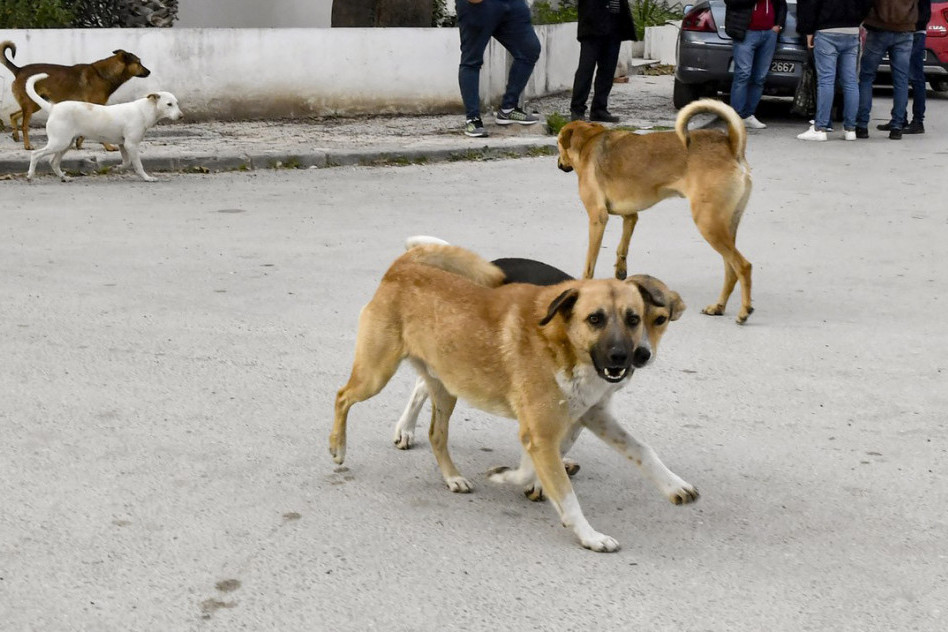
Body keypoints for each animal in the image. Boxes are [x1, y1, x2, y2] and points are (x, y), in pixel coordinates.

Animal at [0, 41, 149, 151]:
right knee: (24, 125)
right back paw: (27, 145)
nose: (149, 72)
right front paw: (107, 146)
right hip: (31, 104)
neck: (104, 74)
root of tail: (19, 70)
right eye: (138, 62)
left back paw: (15, 135)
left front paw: (79, 143)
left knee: (13, 115)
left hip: (35, 104)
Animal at [24, 74, 183, 184]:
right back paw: (30, 175)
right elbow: (138, 165)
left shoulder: (123, 145)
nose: (181, 116)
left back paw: (64, 178)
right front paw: (147, 178)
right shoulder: (131, 145)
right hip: (59, 142)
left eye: (176, 103)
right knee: (35, 154)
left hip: (65, 143)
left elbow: (126, 163)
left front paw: (116, 168)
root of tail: (53, 107)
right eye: (169, 104)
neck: (145, 110)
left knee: (54, 162)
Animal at [332, 244, 696, 552]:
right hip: (375, 375)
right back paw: (338, 447)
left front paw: (674, 486)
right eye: (595, 319)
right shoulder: (542, 434)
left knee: (436, 433)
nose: (628, 357)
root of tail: (403, 267)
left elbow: (640, 450)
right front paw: (589, 535)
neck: (562, 343)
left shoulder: (589, 416)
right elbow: (563, 493)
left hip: (447, 388)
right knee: (342, 397)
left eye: (636, 318)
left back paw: (451, 477)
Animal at [556, 99, 756, 326]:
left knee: (743, 266)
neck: (589, 142)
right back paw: (718, 306)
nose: (558, 164)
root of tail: (731, 145)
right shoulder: (630, 216)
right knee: (730, 269)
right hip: (725, 227)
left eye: (558, 145)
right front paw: (620, 271)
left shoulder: (598, 218)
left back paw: (744, 311)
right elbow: (622, 247)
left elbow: (590, 261)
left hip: (708, 224)